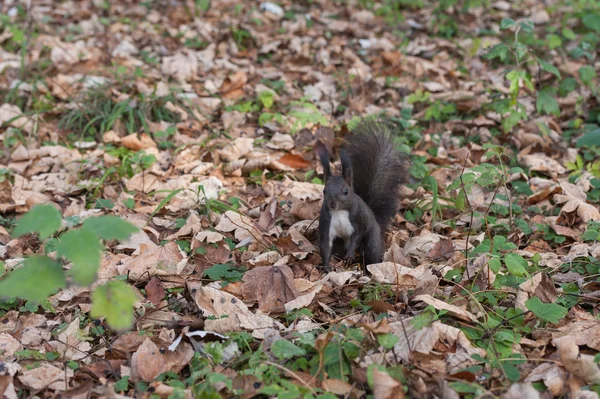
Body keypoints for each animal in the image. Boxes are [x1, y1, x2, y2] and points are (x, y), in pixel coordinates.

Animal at [314, 116, 408, 272]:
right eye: (324, 191)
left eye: (346, 191)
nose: (332, 204)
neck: (339, 212)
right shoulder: (327, 224)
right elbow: (326, 246)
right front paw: (326, 267)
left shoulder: (359, 221)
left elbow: (357, 237)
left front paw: (350, 255)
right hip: (340, 244)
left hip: (372, 240)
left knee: (372, 253)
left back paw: (368, 269)